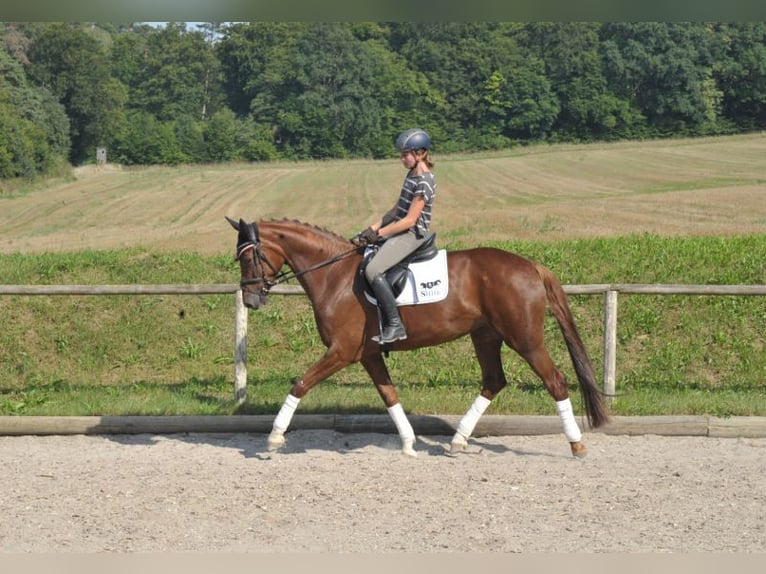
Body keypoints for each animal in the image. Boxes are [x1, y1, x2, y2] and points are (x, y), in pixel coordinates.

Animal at [225, 218, 608, 462]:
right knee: (494, 381)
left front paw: (274, 436)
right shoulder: (368, 354)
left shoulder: (342, 351)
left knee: (555, 381)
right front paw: (409, 443)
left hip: (525, 339)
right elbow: (389, 395)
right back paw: (457, 441)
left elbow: (300, 383)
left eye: (249, 256)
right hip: (485, 335)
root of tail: (530, 266)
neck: (333, 274)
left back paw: (576, 445)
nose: (251, 300)